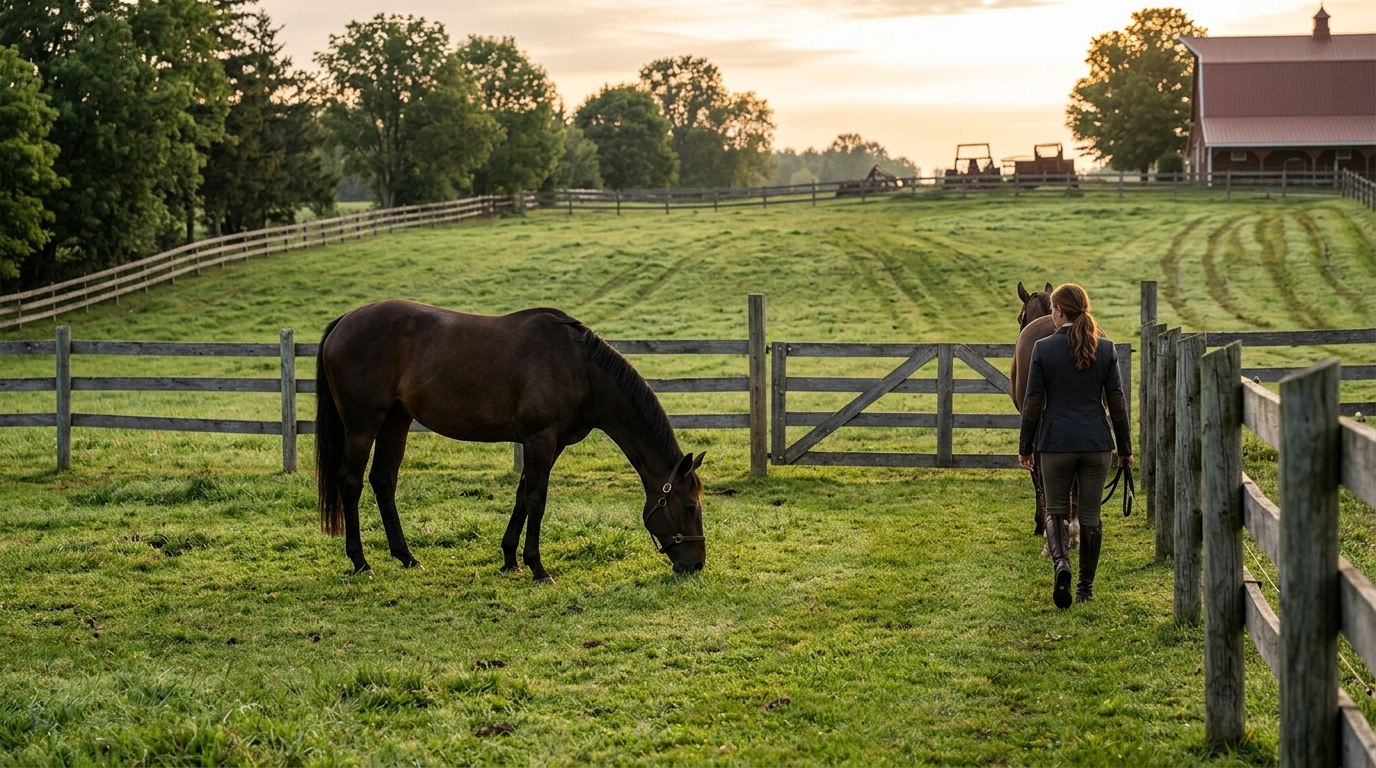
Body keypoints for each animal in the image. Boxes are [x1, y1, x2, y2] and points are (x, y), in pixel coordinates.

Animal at [314, 300, 707, 583]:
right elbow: (537, 498)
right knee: (351, 484)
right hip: (363, 425)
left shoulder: (549, 444)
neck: (579, 367)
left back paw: (407, 557)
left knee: (384, 481)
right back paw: (361, 562)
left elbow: (522, 495)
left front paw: (509, 559)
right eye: (690, 507)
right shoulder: (541, 438)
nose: (696, 565)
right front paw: (538, 568)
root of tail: (345, 320)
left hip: (396, 420)